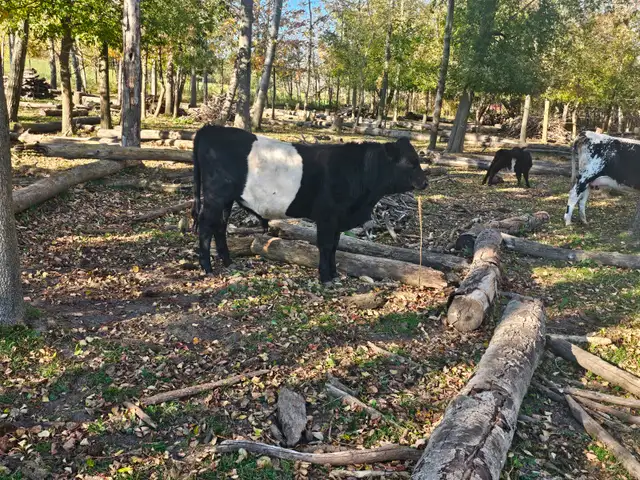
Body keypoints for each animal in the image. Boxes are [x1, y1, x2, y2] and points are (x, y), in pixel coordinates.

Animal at [192, 125, 428, 283]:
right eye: (410, 163)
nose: (425, 182)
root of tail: (209, 128)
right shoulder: (327, 216)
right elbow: (325, 245)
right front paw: (325, 277)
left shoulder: (338, 219)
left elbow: (334, 245)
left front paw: (333, 274)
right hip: (215, 197)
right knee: (205, 228)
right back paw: (207, 267)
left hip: (227, 200)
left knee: (219, 227)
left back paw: (227, 262)